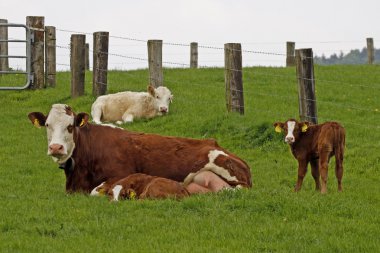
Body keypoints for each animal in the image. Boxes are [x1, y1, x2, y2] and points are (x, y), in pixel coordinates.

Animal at [27, 104, 252, 195]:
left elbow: (96, 190)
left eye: (70, 126)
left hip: (229, 170)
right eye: (47, 125)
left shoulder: (121, 174)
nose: (56, 147)